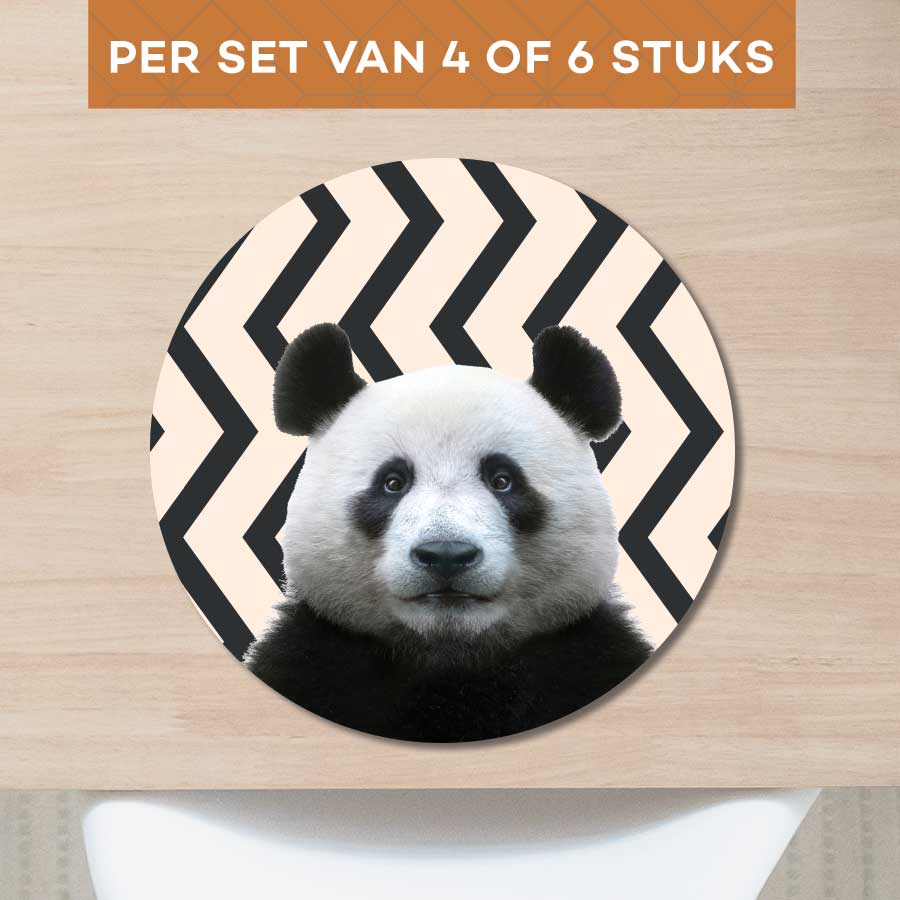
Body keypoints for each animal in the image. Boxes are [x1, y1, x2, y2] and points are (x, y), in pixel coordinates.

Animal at [245, 322, 653, 742]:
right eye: (393, 482)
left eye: (503, 480)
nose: (446, 555)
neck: (451, 662)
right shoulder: (315, 662)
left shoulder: (585, 659)